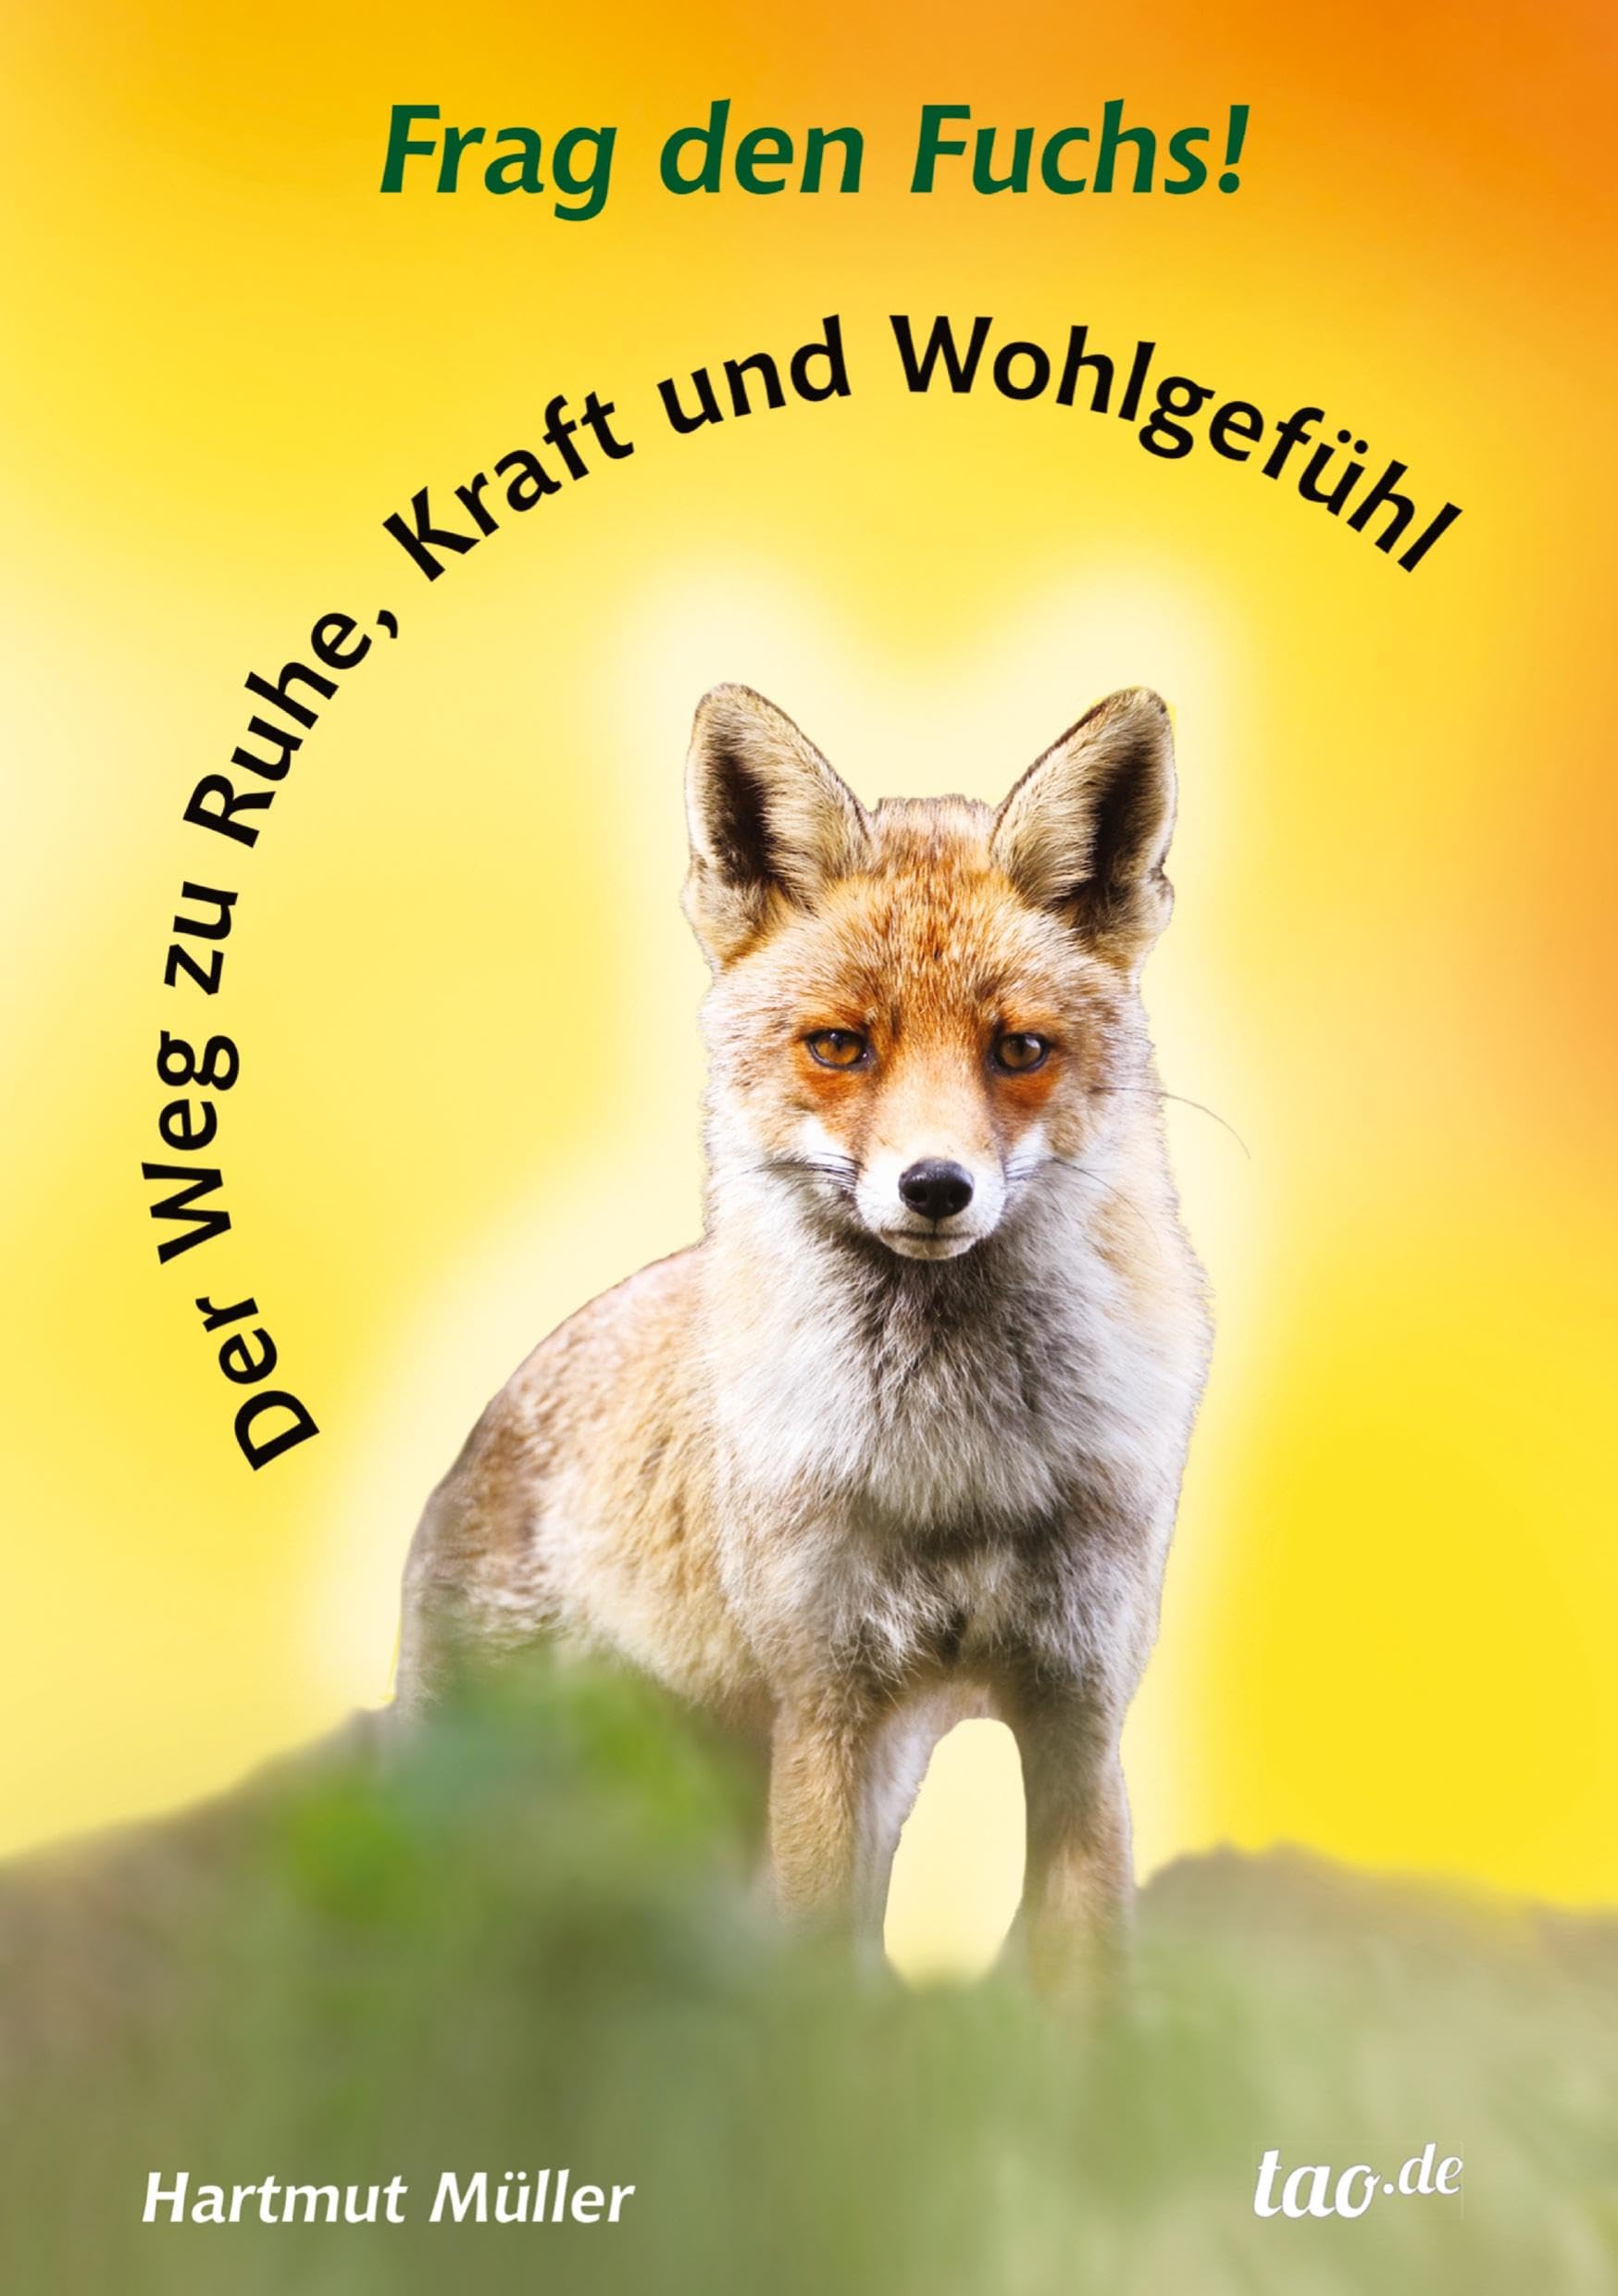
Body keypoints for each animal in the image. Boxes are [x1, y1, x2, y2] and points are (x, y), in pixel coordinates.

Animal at [397, 681, 1211, 1984]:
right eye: (840, 1044)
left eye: (1018, 1049)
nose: (934, 1186)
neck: (953, 1463)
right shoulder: (828, 1705)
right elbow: (824, 1987)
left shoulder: (1077, 1715)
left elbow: (1081, 1993)